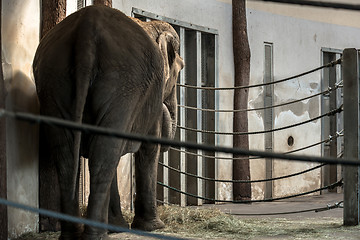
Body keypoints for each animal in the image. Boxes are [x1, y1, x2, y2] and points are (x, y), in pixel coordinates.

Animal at [32, 5, 184, 240]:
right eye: (180, 68)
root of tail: (86, 32)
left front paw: (119, 227)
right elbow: (149, 148)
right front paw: (153, 228)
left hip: (52, 80)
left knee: (71, 152)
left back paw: (74, 235)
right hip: (123, 81)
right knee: (105, 151)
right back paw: (96, 235)